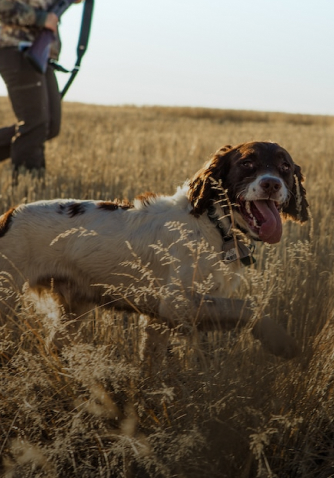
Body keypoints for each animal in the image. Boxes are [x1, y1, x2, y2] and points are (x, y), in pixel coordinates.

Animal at [0, 140, 308, 356]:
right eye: (247, 163)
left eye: (285, 167)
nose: (271, 184)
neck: (213, 224)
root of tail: (8, 216)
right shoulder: (175, 304)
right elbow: (247, 306)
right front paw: (281, 342)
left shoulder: (159, 319)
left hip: (75, 307)